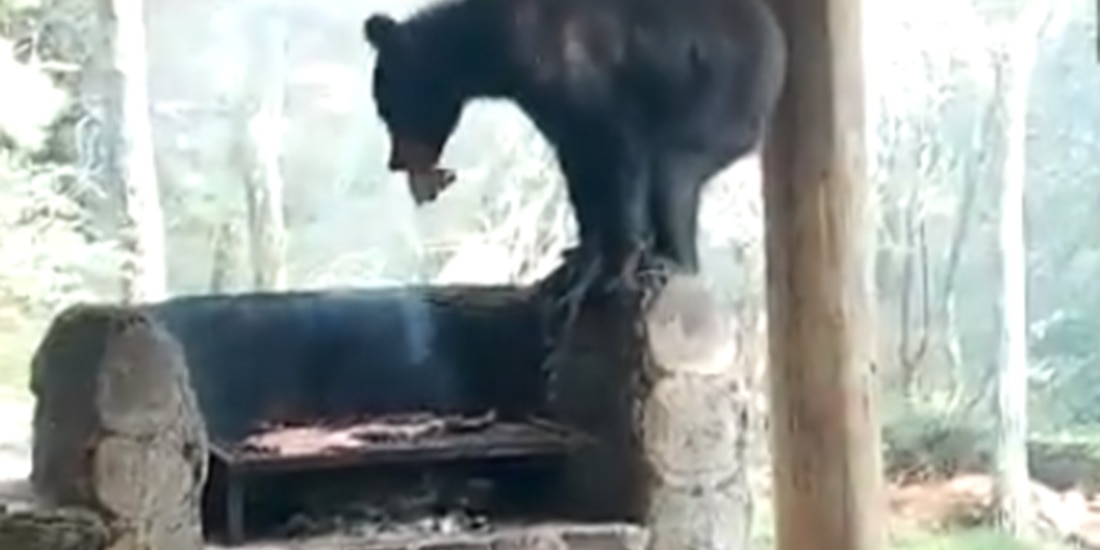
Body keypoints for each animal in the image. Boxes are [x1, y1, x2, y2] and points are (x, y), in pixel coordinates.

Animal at [362, 0, 786, 306]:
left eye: (388, 108)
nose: (394, 161)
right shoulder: (551, 109)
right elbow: (580, 171)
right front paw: (578, 261)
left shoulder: (583, 72)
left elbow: (620, 152)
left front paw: (610, 270)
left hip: (716, 99)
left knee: (672, 172)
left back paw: (670, 261)